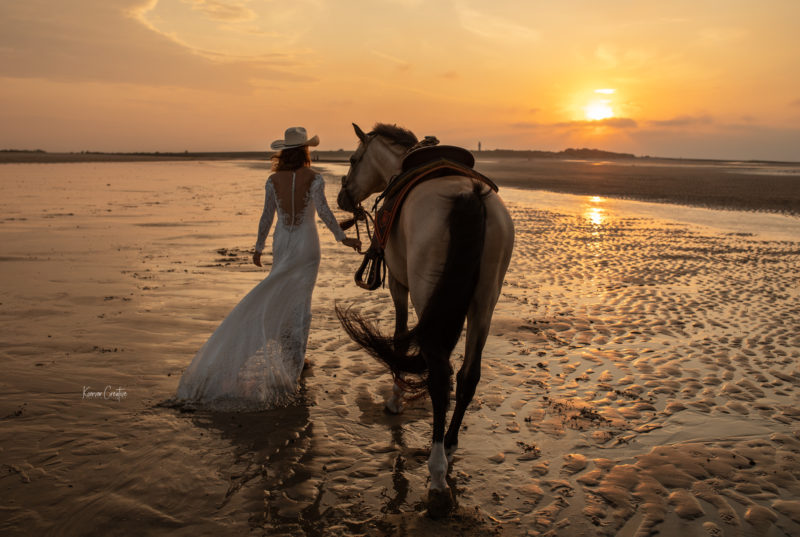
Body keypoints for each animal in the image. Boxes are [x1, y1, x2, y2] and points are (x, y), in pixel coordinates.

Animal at [335, 123, 514, 514]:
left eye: (353, 159)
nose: (342, 197)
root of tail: (470, 196)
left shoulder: (398, 285)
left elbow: (401, 338)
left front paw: (395, 399)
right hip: (485, 304)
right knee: (467, 377)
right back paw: (448, 443)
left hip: (426, 293)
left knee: (440, 375)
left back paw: (436, 474)